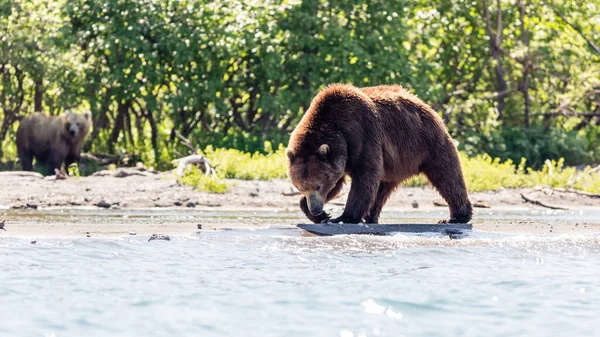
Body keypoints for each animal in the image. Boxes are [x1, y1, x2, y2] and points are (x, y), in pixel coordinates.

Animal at [286, 84, 474, 224]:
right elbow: (337, 183)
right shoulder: (339, 156)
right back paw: (371, 216)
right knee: (383, 186)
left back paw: (456, 217)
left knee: (447, 176)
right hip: (396, 163)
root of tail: (424, 104)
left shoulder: (362, 134)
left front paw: (343, 217)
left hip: (426, 145)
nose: (316, 208)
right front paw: (318, 213)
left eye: (318, 185)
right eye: (301, 187)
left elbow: (364, 176)